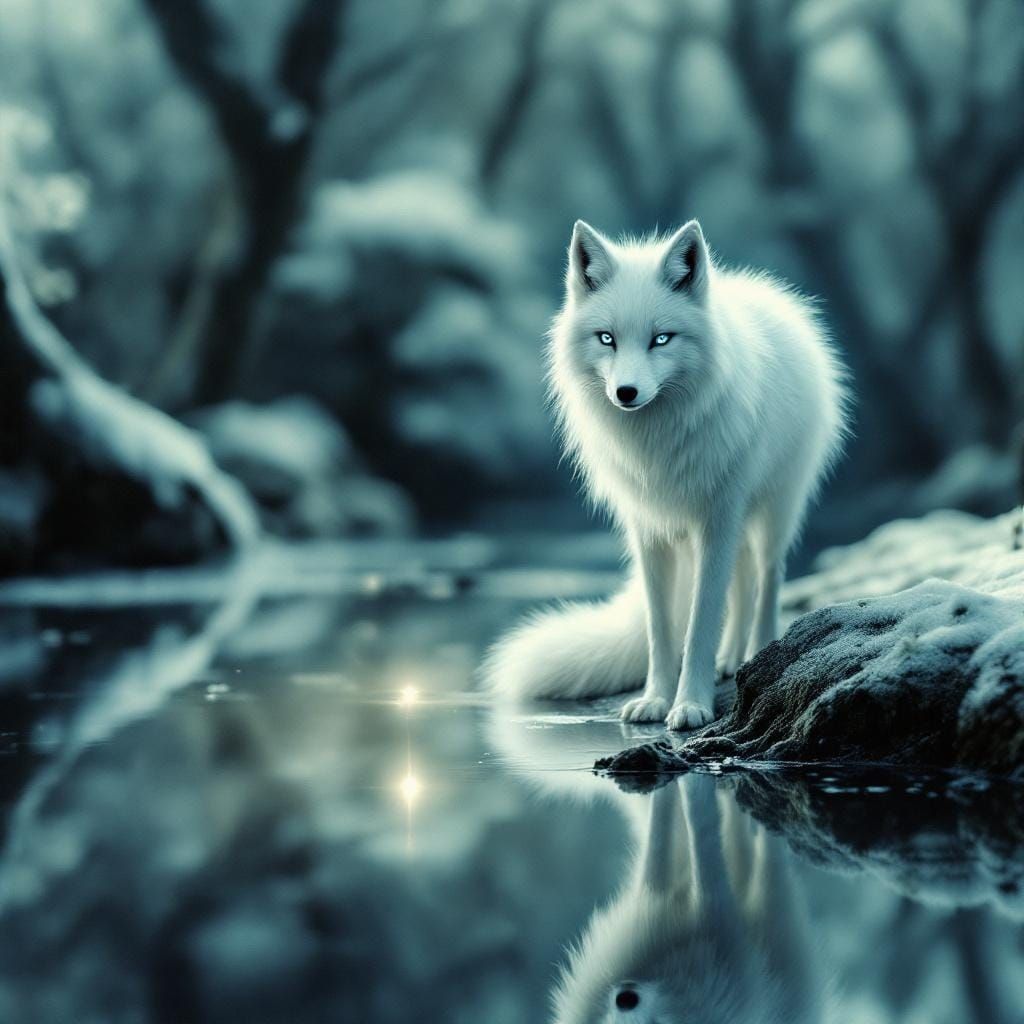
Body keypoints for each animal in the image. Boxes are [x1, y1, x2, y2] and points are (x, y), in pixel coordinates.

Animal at [486, 219, 848, 729]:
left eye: (662, 339)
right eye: (607, 339)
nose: (626, 392)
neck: (658, 438)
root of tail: (767, 293)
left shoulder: (717, 520)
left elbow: (699, 623)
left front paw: (691, 704)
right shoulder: (650, 528)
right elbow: (661, 627)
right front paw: (656, 699)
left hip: (774, 508)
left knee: (768, 575)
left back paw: (760, 650)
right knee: (742, 580)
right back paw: (731, 659)